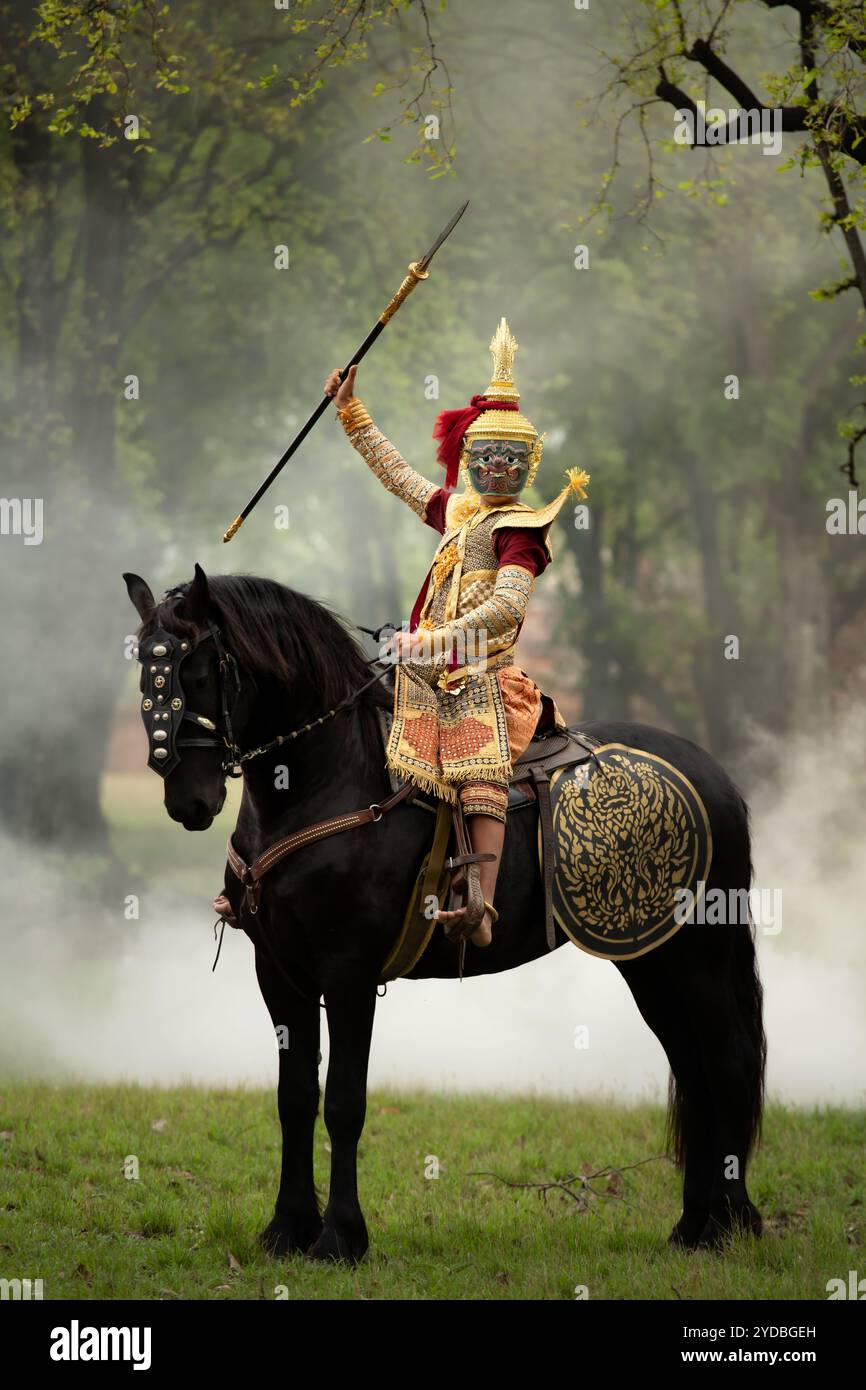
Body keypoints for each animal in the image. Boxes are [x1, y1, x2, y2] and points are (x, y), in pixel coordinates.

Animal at [123, 567, 767, 1273]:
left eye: (200, 669)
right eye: (145, 670)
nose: (187, 798)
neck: (329, 781)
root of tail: (714, 776)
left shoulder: (348, 977)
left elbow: (343, 1101)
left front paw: (340, 1236)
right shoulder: (282, 976)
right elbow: (294, 1099)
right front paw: (287, 1228)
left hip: (696, 958)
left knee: (727, 1063)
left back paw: (729, 1222)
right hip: (651, 964)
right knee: (694, 1072)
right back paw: (693, 1223)